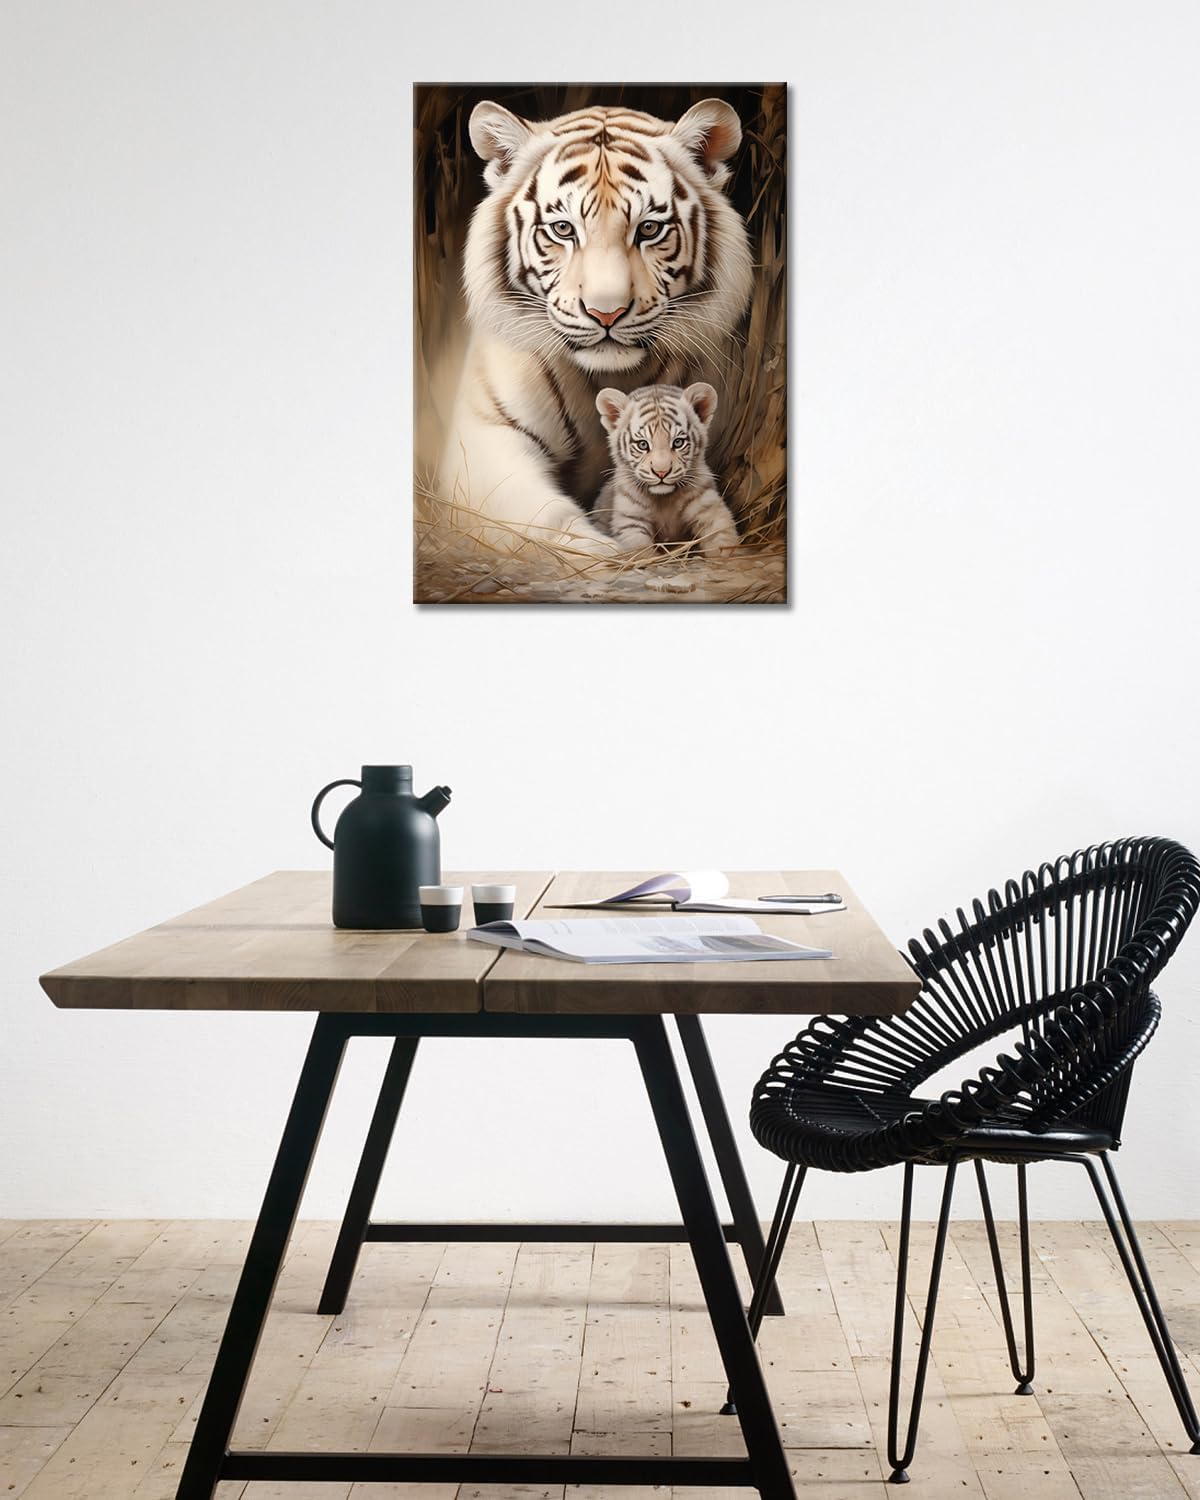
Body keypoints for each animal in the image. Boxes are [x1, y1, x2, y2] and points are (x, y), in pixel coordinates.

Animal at [593, 383, 740, 557]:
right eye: (642, 444)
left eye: (678, 442)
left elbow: (722, 539)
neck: (664, 499)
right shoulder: (630, 520)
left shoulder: (709, 508)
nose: (661, 472)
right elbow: (640, 551)